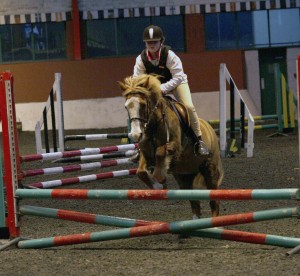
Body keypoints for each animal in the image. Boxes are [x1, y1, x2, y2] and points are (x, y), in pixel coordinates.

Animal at [119, 74, 223, 219]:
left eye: (143, 105)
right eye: (126, 107)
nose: (135, 135)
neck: (154, 125)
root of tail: (209, 128)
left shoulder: (175, 147)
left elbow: (160, 152)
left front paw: (160, 178)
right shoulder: (146, 152)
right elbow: (141, 171)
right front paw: (157, 186)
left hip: (209, 169)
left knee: (214, 201)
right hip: (184, 175)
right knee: (194, 202)